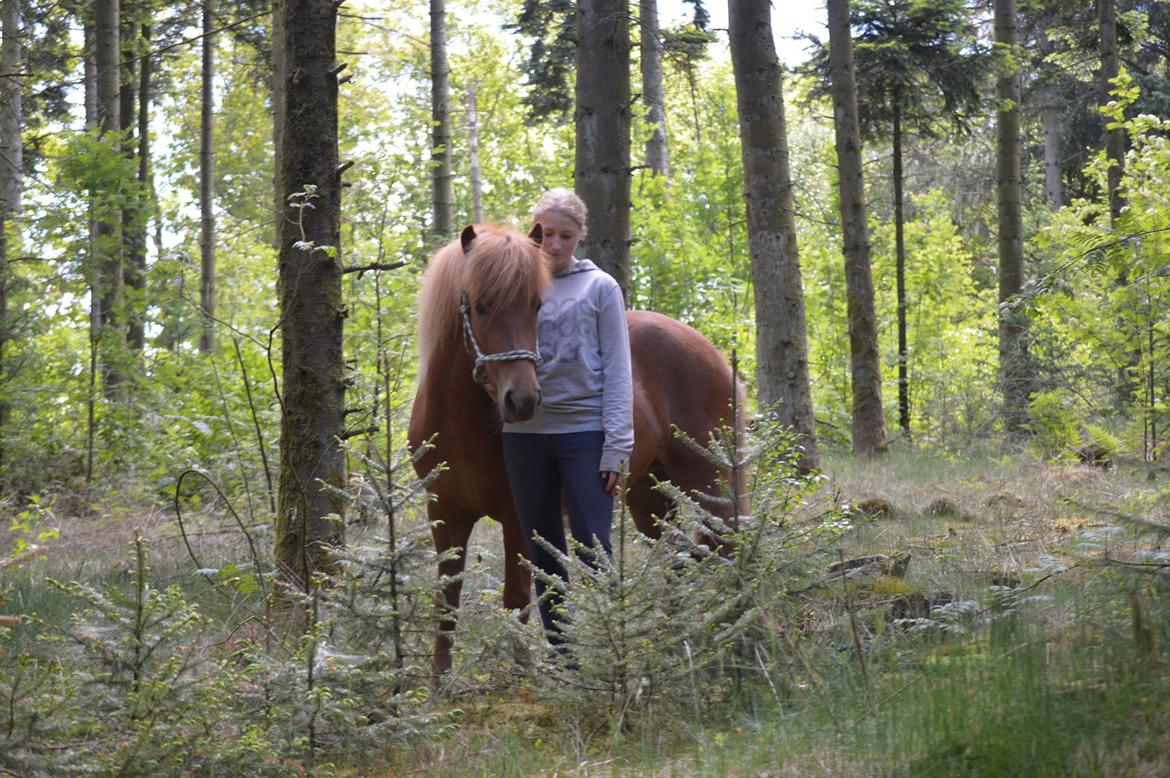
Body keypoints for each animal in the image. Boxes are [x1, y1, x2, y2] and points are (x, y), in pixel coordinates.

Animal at [409, 224, 739, 673]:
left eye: (536, 306)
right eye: (480, 306)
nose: (523, 400)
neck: (460, 423)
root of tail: (711, 351)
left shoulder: (518, 514)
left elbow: (518, 598)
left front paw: (523, 676)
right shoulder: (444, 512)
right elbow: (447, 603)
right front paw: (438, 684)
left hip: (708, 482)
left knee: (726, 545)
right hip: (649, 495)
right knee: (676, 555)